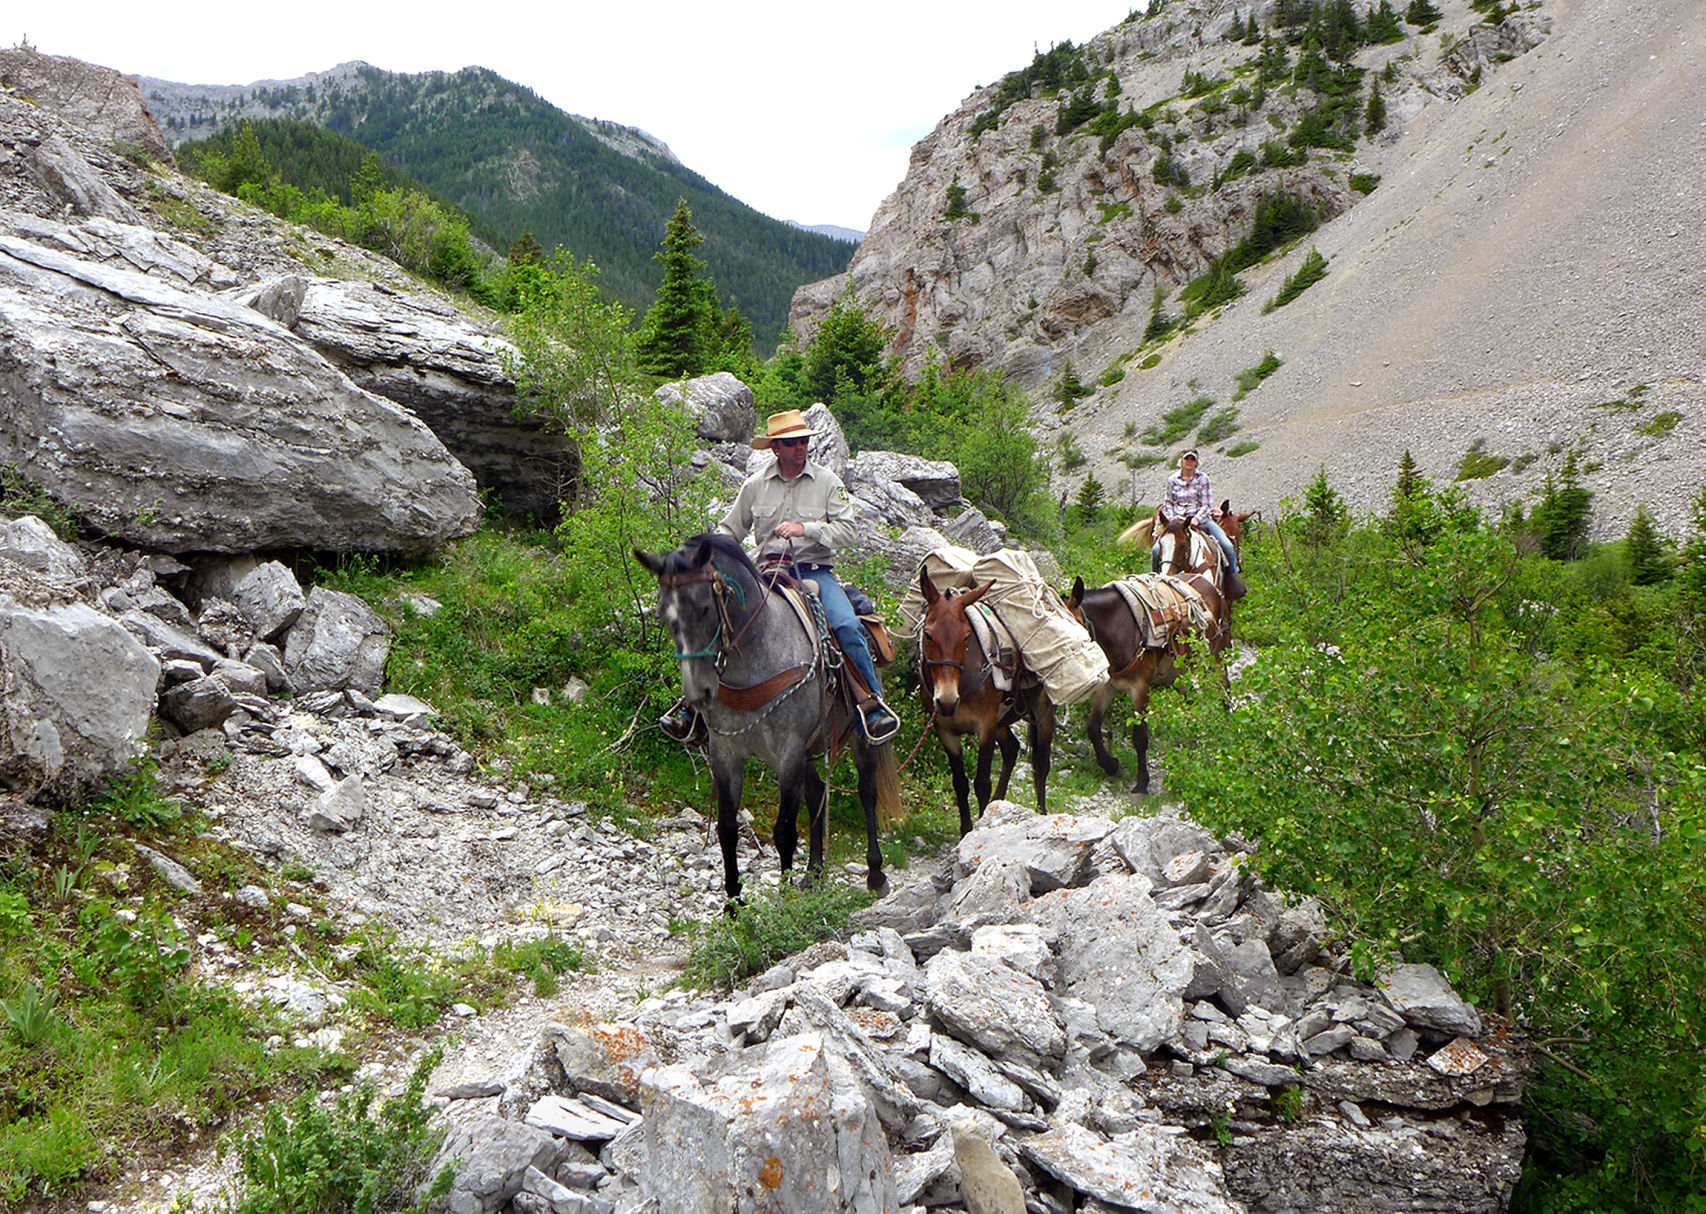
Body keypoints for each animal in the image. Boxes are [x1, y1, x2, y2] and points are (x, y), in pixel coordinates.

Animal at [634, 535, 900, 907]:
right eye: (662, 613)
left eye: (704, 608)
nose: (699, 693)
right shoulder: (727, 753)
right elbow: (727, 830)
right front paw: (733, 904)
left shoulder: (787, 754)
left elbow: (784, 830)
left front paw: (784, 899)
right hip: (809, 751)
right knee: (817, 795)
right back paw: (813, 873)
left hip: (859, 741)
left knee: (867, 792)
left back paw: (875, 875)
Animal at [921, 569, 1050, 835]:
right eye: (928, 634)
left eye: (966, 636)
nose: (947, 702)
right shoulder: (945, 731)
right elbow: (959, 783)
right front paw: (967, 829)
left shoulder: (986, 727)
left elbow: (981, 782)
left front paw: (981, 827)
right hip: (1002, 720)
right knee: (1011, 749)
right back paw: (999, 803)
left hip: (1042, 712)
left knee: (1041, 765)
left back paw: (1041, 812)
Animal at [1064, 566, 1228, 797]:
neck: (1117, 631)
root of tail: (1210, 585)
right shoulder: (1106, 687)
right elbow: (1093, 728)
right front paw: (1112, 765)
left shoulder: (1140, 688)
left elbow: (1140, 736)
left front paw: (1142, 782)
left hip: (1217, 656)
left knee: (1224, 689)